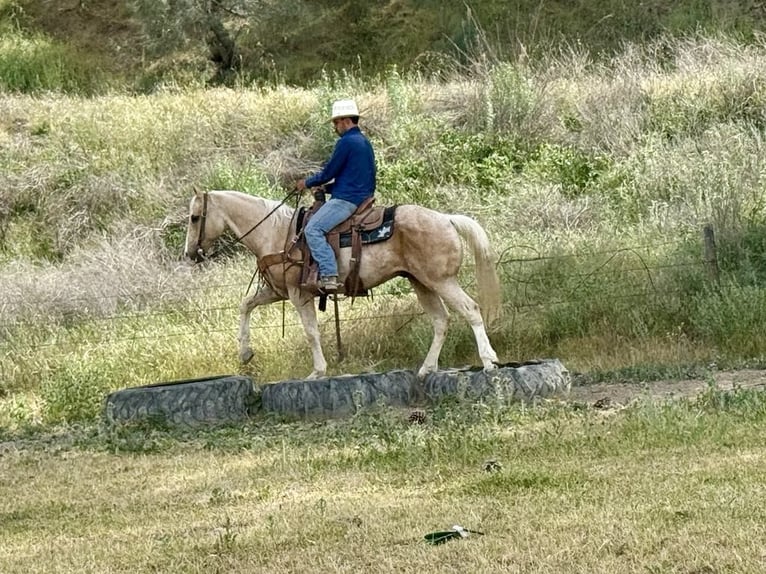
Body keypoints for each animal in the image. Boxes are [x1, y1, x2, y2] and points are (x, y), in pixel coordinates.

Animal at [183, 189, 502, 379]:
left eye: (195, 217)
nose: (190, 253)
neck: (276, 233)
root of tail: (446, 219)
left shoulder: (299, 295)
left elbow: (311, 332)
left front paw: (317, 371)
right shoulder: (276, 291)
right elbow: (245, 305)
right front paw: (245, 352)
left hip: (441, 281)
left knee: (471, 309)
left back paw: (489, 361)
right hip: (421, 283)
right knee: (441, 320)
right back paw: (427, 368)